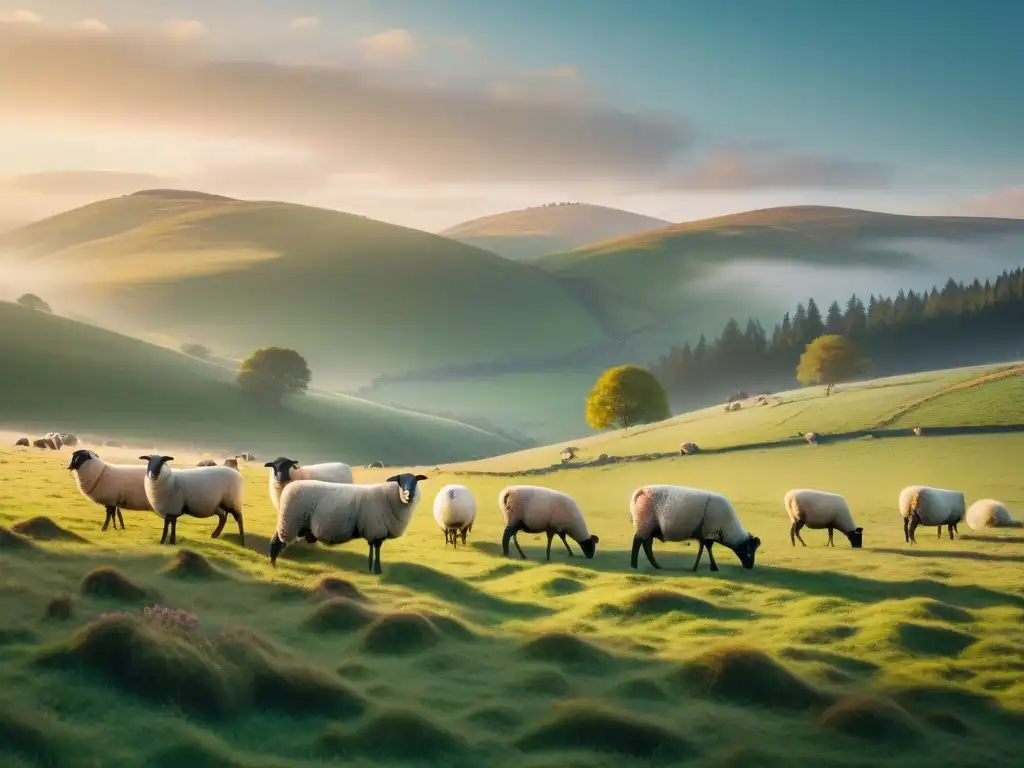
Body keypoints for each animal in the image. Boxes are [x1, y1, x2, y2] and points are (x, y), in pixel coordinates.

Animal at [268, 473, 428, 573]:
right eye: (400, 481)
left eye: (415, 481)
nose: (408, 495)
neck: (389, 498)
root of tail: (289, 487)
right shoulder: (375, 529)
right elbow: (376, 549)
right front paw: (377, 570)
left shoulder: (372, 530)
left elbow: (372, 549)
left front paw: (370, 568)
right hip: (289, 521)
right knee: (277, 542)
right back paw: (273, 564)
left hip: (290, 522)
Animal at [622, 487, 761, 573]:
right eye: (749, 551)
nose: (750, 566)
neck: (727, 529)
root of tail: (642, 491)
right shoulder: (708, 532)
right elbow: (708, 548)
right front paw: (713, 567)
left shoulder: (703, 534)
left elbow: (702, 548)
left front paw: (696, 567)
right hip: (645, 524)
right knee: (637, 542)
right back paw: (634, 565)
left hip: (649, 527)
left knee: (646, 545)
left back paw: (656, 566)